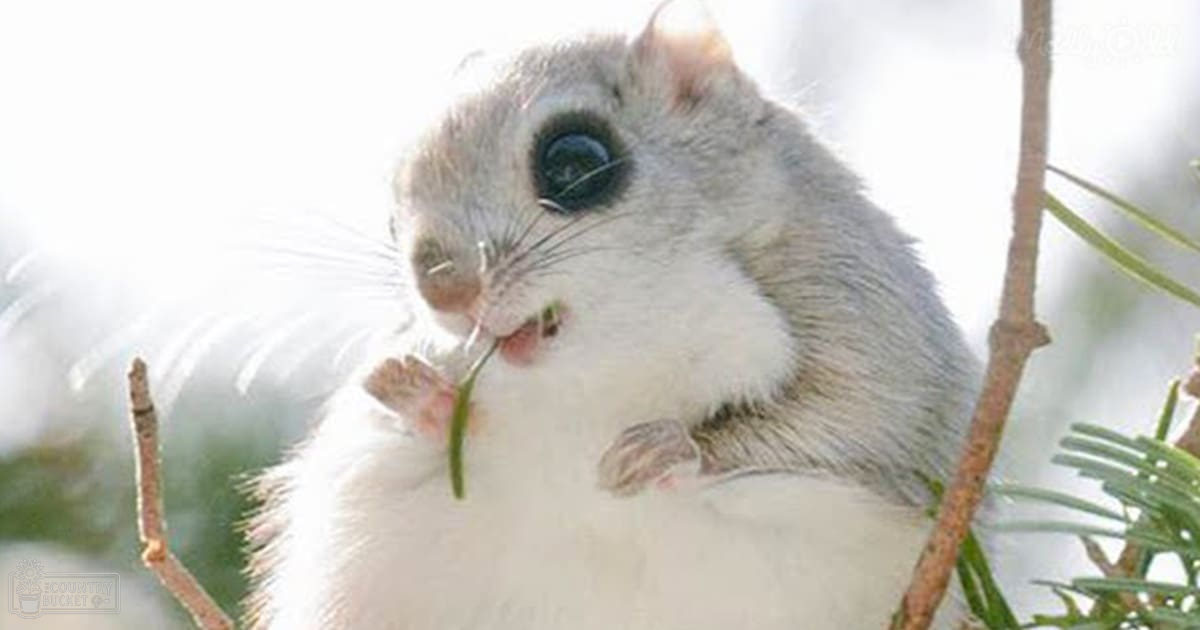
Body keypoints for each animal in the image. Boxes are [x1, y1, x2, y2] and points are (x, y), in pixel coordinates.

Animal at [245, 3, 981, 628]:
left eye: (575, 161)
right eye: (394, 202)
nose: (443, 291)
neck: (594, 370)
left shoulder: (869, 320)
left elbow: (848, 416)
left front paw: (663, 449)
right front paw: (409, 384)